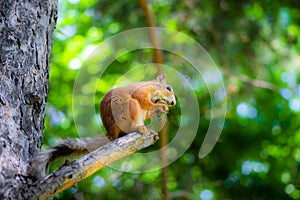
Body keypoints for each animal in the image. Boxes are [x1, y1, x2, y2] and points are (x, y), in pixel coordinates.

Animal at [28, 74, 176, 180]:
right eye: (168, 88)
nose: (173, 103)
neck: (153, 89)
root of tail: (111, 134)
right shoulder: (141, 91)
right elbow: (143, 99)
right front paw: (160, 105)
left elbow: (148, 111)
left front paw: (162, 108)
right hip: (128, 107)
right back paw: (138, 128)